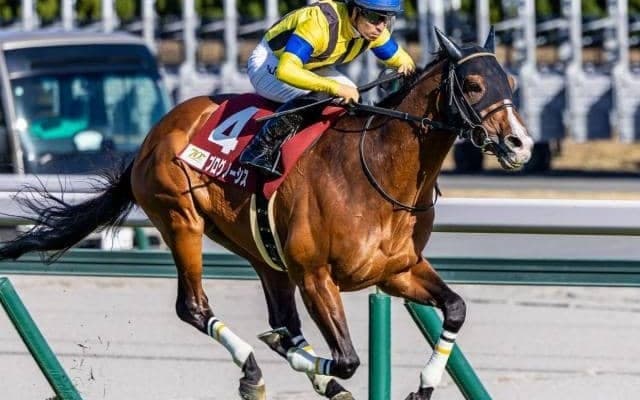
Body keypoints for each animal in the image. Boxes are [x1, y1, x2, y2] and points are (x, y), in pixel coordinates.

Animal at [0, 28, 532, 400]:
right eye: (474, 83)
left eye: (510, 81)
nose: (520, 144)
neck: (377, 171)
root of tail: (155, 135)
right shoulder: (317, 276)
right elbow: (346, 359)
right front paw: (307, 367)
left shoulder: (396, 270)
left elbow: (455, 308)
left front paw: (422, 386)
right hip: (180, 218)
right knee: (194, 307)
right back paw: (256, 370)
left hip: (260, 248)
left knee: (281, 315)